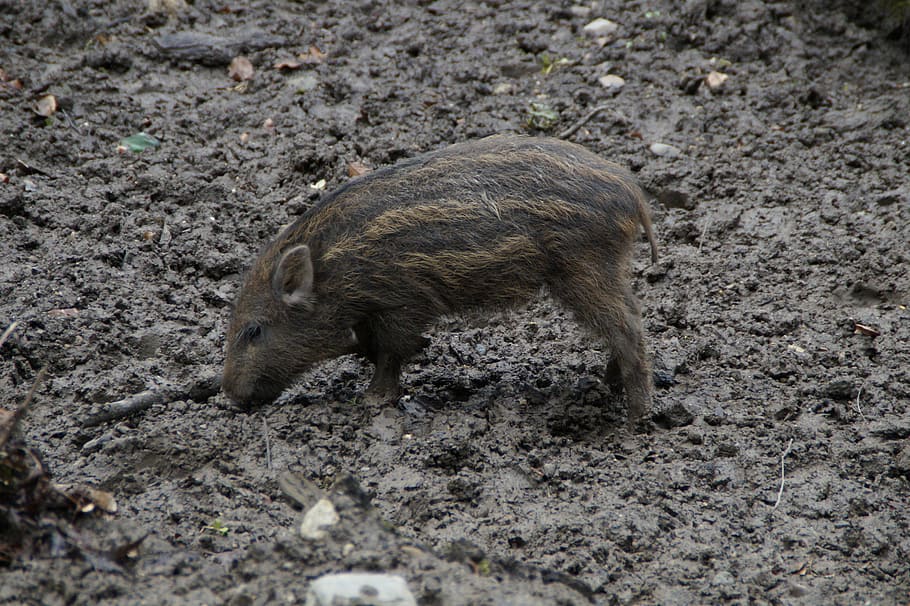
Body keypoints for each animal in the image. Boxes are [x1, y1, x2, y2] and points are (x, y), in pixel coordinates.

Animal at [222, 134, 658, 425]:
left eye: (254, 330)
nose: (229, 394)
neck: (336, 267)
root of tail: (633, 194)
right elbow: (370, 344)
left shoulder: (404, 301)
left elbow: (390, 351)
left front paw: (372, 400)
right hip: (604, 268)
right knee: (629, 318)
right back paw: (608, 385)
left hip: (583, 267)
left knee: (628, 328)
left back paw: (635, 417)